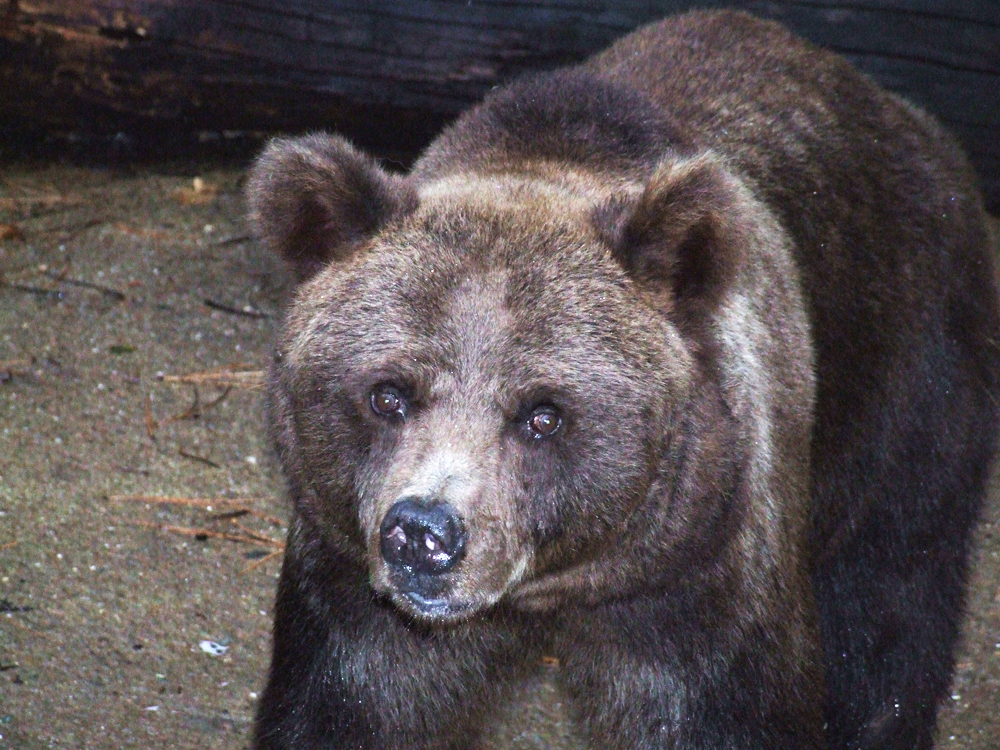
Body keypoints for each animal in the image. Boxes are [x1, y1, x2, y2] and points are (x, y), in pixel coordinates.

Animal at [244, 7, 1000, 750]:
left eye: (542, 413)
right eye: (388, 394)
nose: (425, 533)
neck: (556, 591)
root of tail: (903, 114)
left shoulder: (710, 581)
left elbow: (736, 707)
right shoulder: (350, 586)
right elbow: (351, 705)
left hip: (906, 369)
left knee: (891, 595)